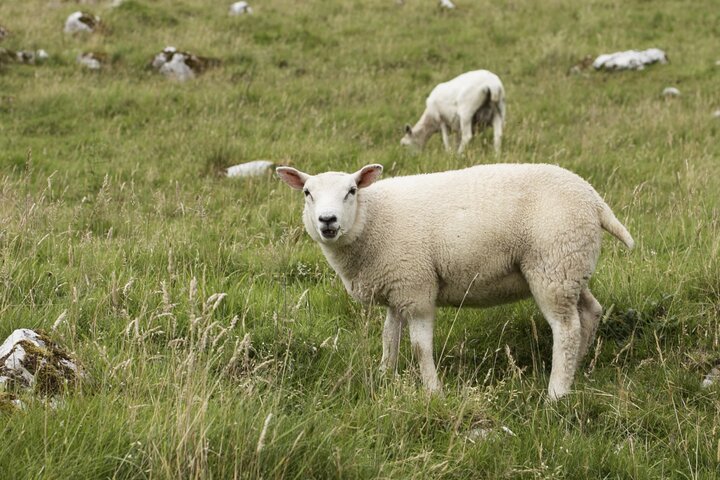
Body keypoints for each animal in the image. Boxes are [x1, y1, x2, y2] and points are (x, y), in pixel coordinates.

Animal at [278, 163, 632, 400]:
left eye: (351, 191)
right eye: (307, 193)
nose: (327, 220)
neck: (373, 218)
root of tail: (593, 198)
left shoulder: (417, 287)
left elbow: (420, 347)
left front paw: (433, 391)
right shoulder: (397, 286)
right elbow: (389, 338)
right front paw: (384, 377)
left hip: (553, 265)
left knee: (566, 329)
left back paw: (557, 393)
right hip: (571, 266)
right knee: (589, 312)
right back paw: (579, 368)